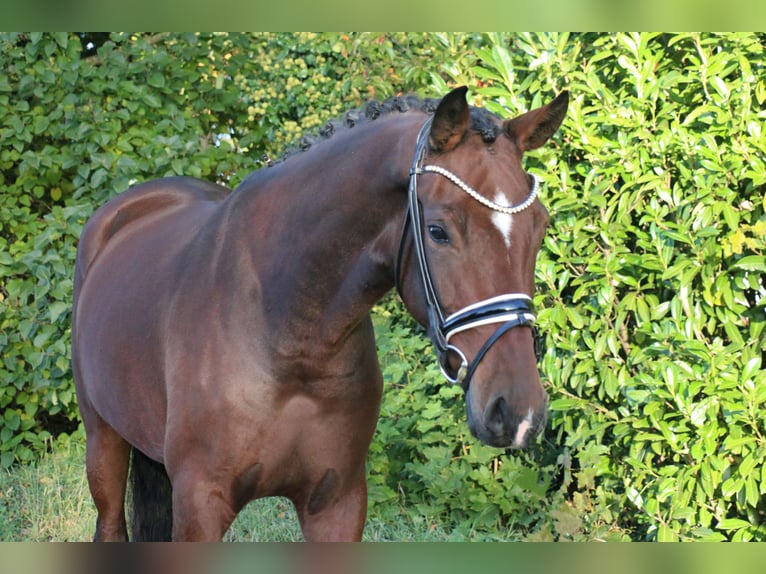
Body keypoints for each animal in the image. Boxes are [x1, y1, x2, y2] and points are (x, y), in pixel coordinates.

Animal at [72, 86, 568, 544]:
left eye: (540, 226)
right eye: (438, 230)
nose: (518, 411)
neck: (288, 334)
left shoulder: (337, 504)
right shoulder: (200, 506)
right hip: (103, 442)